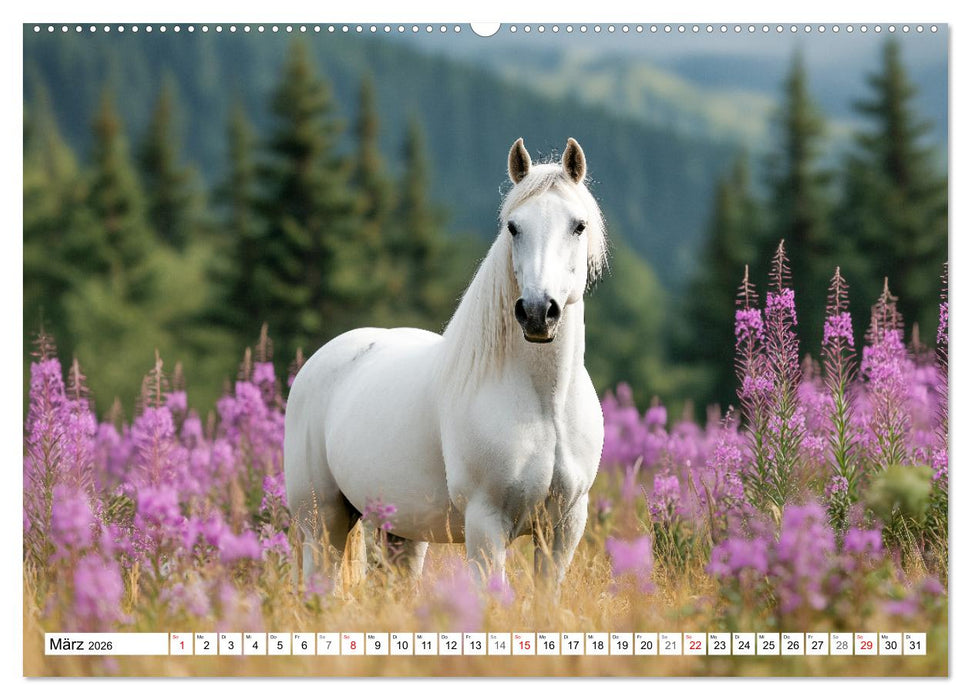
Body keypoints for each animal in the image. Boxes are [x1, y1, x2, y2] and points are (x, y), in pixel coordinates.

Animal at [284, 137, 608, 590]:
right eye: (513, 227)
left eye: (578, 225)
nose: (537, 312)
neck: (545, 405)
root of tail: (316, 364)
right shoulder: (486, 524)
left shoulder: (563, 528)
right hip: (322, 521)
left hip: (401, 531)